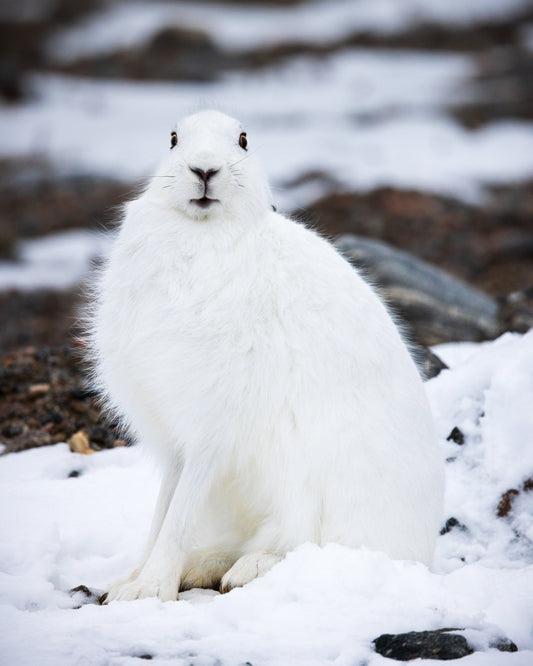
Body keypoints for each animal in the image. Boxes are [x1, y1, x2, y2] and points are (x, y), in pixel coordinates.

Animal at [90, 109, 444, 602]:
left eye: (242, 140)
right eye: (174, 139)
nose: (204, 169)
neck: (203, 234)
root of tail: (419, 554)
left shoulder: (213, 426)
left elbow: (179, 513)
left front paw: (147, 590)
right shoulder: (175, 434)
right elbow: (163, 509)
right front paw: (129, 581)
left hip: (313, 493)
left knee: (305, 548)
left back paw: (248, 568)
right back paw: (204, 567)